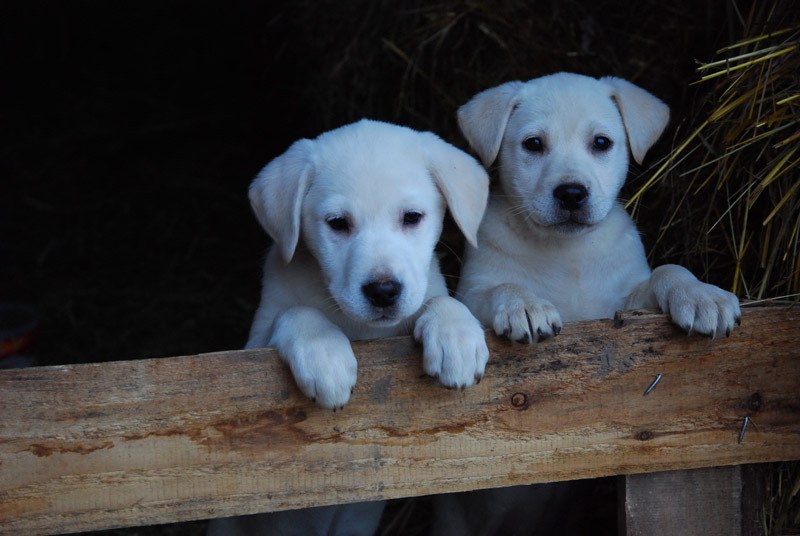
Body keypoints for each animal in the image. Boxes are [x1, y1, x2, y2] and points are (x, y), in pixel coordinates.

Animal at [209, 120, 488, 536]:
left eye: (412, 217)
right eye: (338, 223)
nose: (384, 291)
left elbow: (438, 300)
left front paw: (456, 336)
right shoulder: (246, 352)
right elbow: (296, 312)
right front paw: (323, 354)